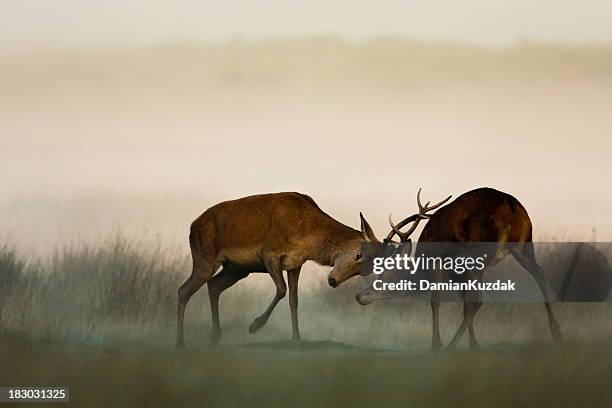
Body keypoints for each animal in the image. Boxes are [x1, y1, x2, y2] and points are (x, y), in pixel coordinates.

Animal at [175, 192, 380, 348]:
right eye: (358, 255)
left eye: (365, 270)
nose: (333, 281)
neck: (308, 236)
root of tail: (192, 226)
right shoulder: (269, 253)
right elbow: (281, 289)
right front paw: (255, 325)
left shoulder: (295, 264)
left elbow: (293, 300)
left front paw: (296, 338)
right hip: (204, 258)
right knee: (183, 290)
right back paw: (180, 343)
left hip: (236, 269)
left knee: (213, 286)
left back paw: (215, 337)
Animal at [356, 188, 560, 350]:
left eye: (383, 277)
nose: (360, 296)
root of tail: (512, 208)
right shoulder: (457, 272)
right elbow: (464, 304)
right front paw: (472, 343)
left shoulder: (438, 260)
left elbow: (436, 301)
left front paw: (436, 344)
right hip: (524, 244)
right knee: (540, 273)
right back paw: (556, 332)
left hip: (480, 253)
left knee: (479, 300)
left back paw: (450, 345)